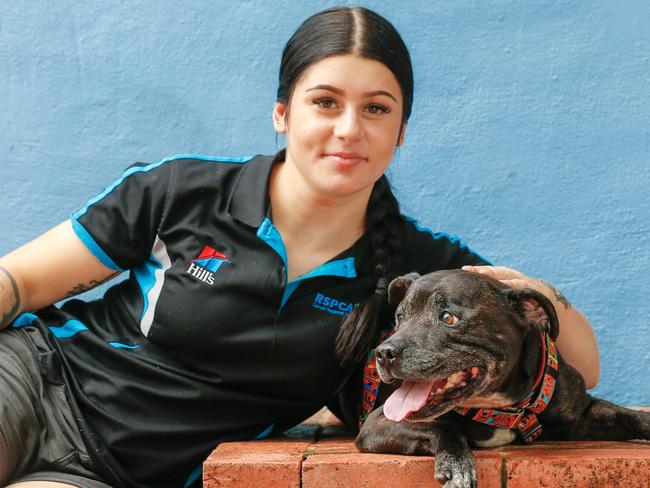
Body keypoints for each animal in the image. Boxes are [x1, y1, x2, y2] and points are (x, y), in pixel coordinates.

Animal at [354, 268, 648, 488]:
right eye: (400, 318)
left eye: (448, 317)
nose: (384, 353)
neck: (503, 406)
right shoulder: (376, 423)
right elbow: (441, 426)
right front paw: (457, 463)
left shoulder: (581, 414)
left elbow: (630, 416)